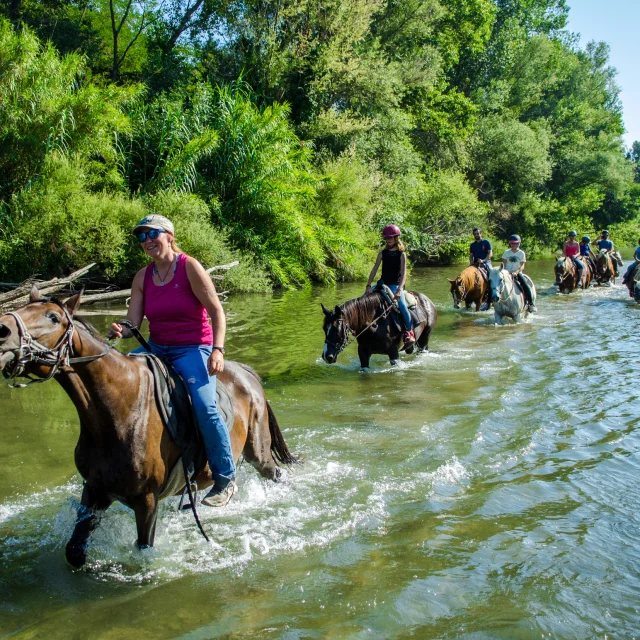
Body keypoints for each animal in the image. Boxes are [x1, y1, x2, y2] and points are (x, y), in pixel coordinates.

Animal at [0, 288, 298, 568]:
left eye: (53, 317)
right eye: (21, 308)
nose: (3, 330)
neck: (117, 412)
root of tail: (247, 373)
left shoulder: (146, 501)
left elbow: (143, 549)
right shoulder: (95, 490)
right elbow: (74, 551)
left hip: (259, 453)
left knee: (274, 473)